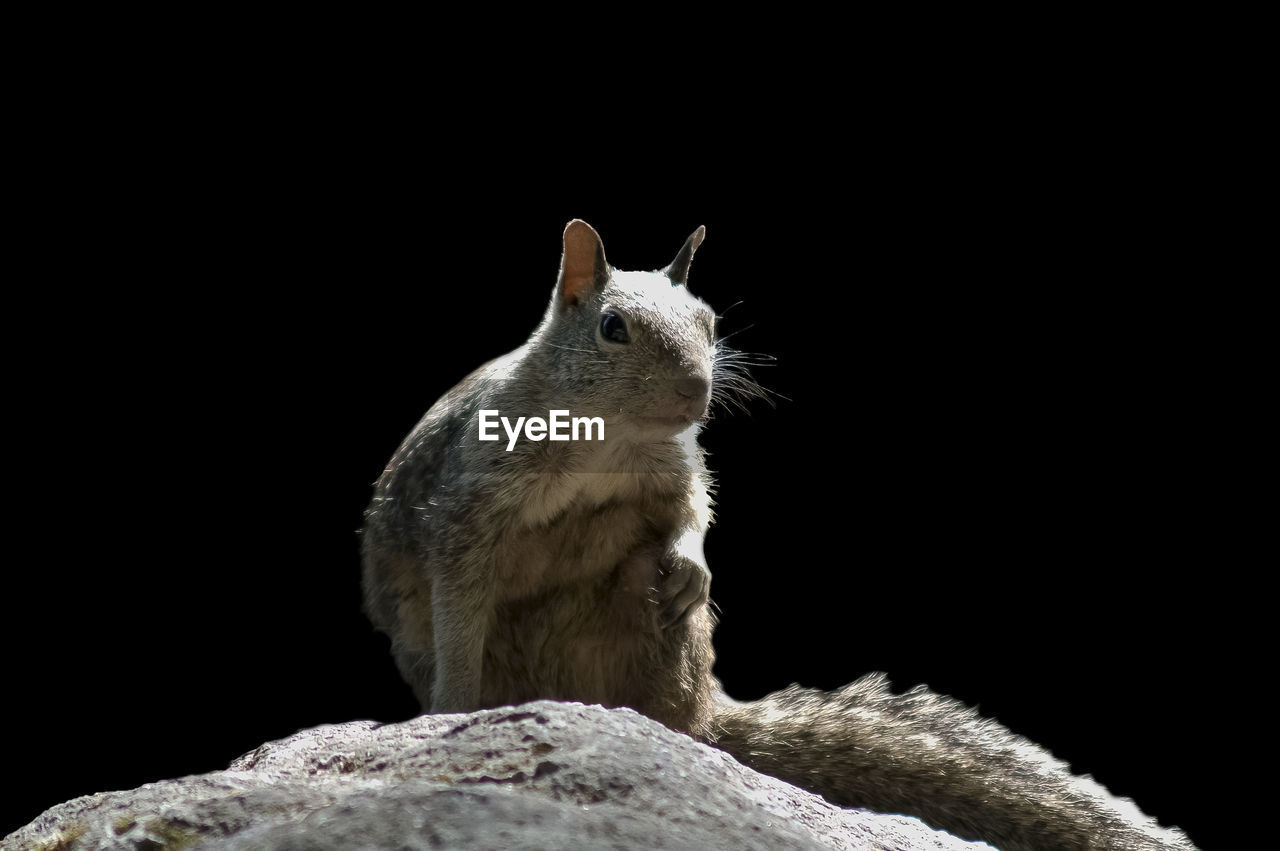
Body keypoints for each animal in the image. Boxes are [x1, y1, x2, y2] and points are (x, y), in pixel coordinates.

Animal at [358, 220, 1187, 849]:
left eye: (710, 322)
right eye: (612, 327)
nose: (696, 390)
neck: (609, 441)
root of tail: (711, 707)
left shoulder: (675, 469)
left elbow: (693, 511)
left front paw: (694, 565)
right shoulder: (469, 507)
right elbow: (460, 607)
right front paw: (451, 713)